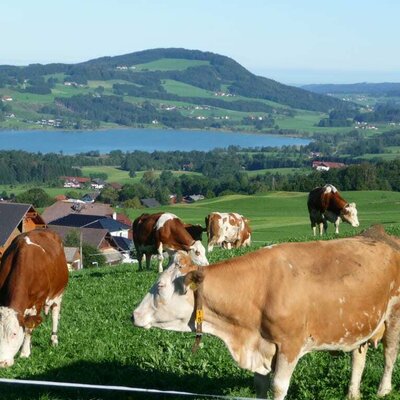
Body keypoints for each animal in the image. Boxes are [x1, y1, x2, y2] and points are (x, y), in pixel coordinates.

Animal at [0, 230, 68, 368]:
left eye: (14, 333)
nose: (2, 362)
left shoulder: (38, 303)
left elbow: (28, 330)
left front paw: (25, 353)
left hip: (58, 294)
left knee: (55, 315)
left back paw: (54, 340)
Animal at [134, 225, 400, 400]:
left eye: (160, 286)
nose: (134, 315)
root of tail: (379, 233)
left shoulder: (289, 346)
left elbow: (278, 387)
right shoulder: (259, 346)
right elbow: (260, 387)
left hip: (394, 315)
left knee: (389, 354)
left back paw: (383, 390)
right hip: (362, 322)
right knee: (358, 356)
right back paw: (352, 393)